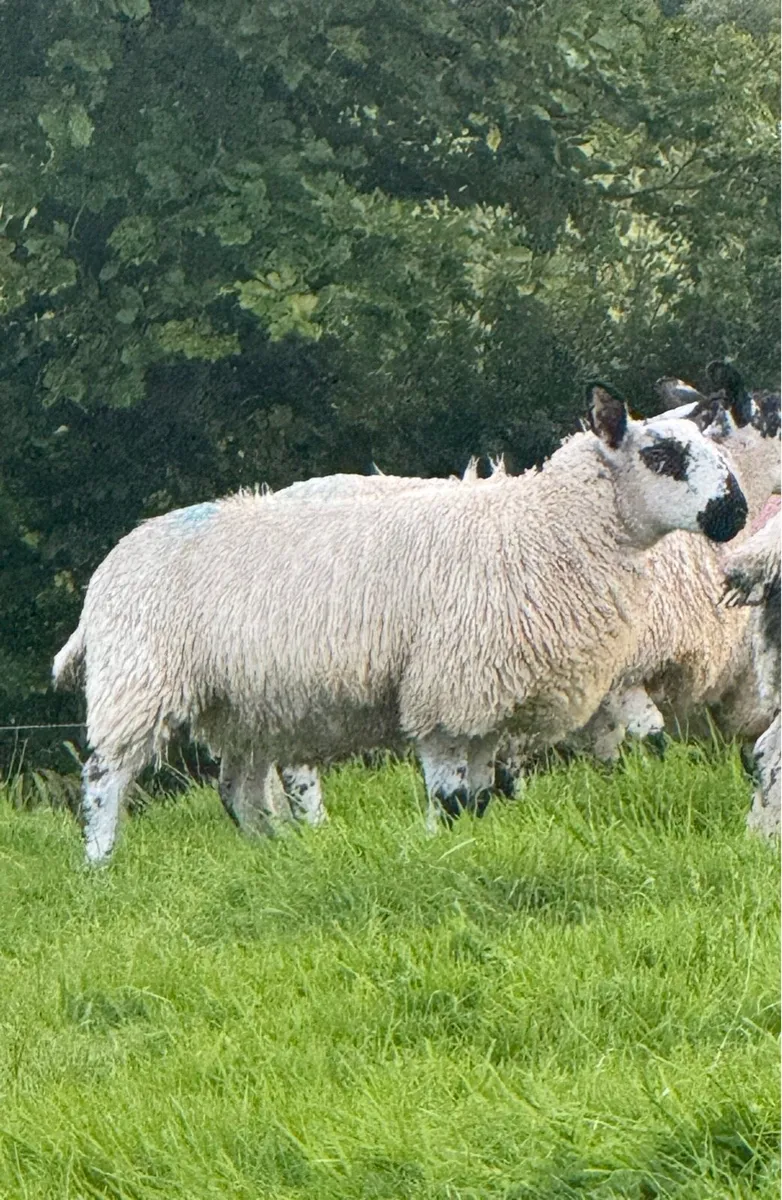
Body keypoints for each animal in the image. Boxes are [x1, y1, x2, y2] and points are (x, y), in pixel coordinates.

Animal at [53, 387, 748, 863]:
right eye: (660, 455)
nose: (736, 512)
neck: (540, 529)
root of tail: (106, 573)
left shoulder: (487, 703)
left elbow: (481, 794)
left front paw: (477, 841)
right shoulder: (447, 689)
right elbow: (449, 794)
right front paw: (444, 849)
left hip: (248, 701)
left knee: (238, 788)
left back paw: (275, 854)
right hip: (138, 681)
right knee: (105, 775)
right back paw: (100, 864)